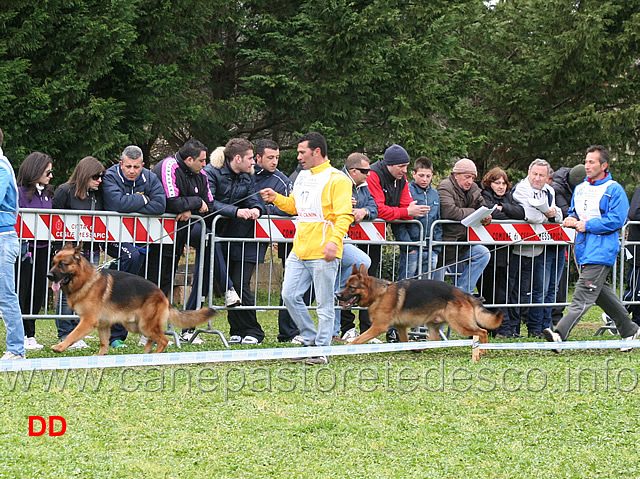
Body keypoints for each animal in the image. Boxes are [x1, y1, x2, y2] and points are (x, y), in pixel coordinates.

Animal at [47, 246, 216, 354]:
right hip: (136, 326)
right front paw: (99, 357)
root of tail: (162, 295)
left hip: (145, 325)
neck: (85, 279)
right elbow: (104, 343)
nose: (48, 276)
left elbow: (72, 334)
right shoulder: (103, 324)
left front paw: (60, 347)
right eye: (53, 263)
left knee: (163, 340)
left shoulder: (88, 321)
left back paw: (154, 355)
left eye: (63, 264)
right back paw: (146, 353)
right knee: (153, 339)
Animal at [338, 266, 502, 348]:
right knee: (435, 339)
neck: (379, 293)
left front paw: (348, 348)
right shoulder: (401, 327)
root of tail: (464, 293)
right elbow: (404, 342)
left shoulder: (378, 327)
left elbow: (357, 340)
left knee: (482, 331)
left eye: (351, 287)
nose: (337, 296)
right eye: (345, 285)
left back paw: (484, 350)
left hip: (461, 326)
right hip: (433, 324)